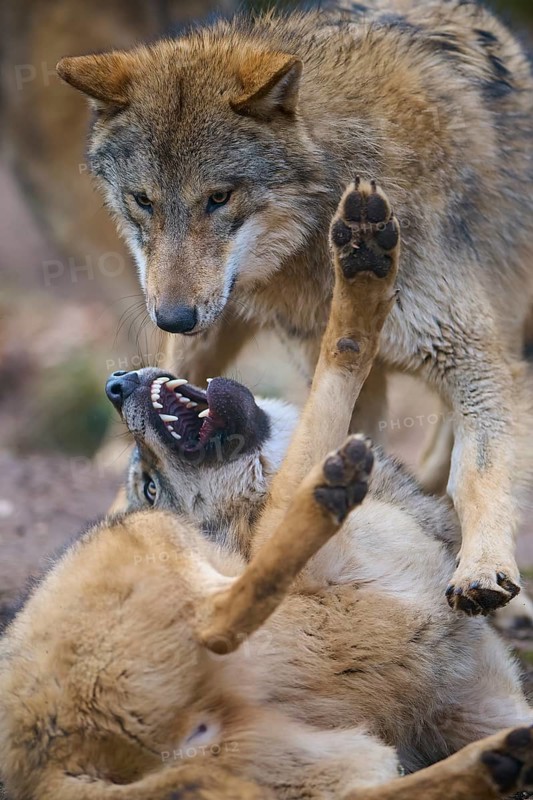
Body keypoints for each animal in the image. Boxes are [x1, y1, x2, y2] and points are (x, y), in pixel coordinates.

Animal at [1, 180, 532, 800]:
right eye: (149, 486)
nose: (113, 383)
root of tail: (45, 771)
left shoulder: (489, 705)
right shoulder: (280, 524)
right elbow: (342, 352)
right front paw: (362, 267)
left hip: (351, 756)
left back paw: (496, 762)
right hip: (154, 538)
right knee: (218, 618)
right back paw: (330, 490)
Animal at [56, 0, 533, 616]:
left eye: (219, 197)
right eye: (143, 201)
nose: (173, 319)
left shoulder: (473, 355)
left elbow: (477, 470)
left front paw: (482, 570)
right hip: (205, 336)